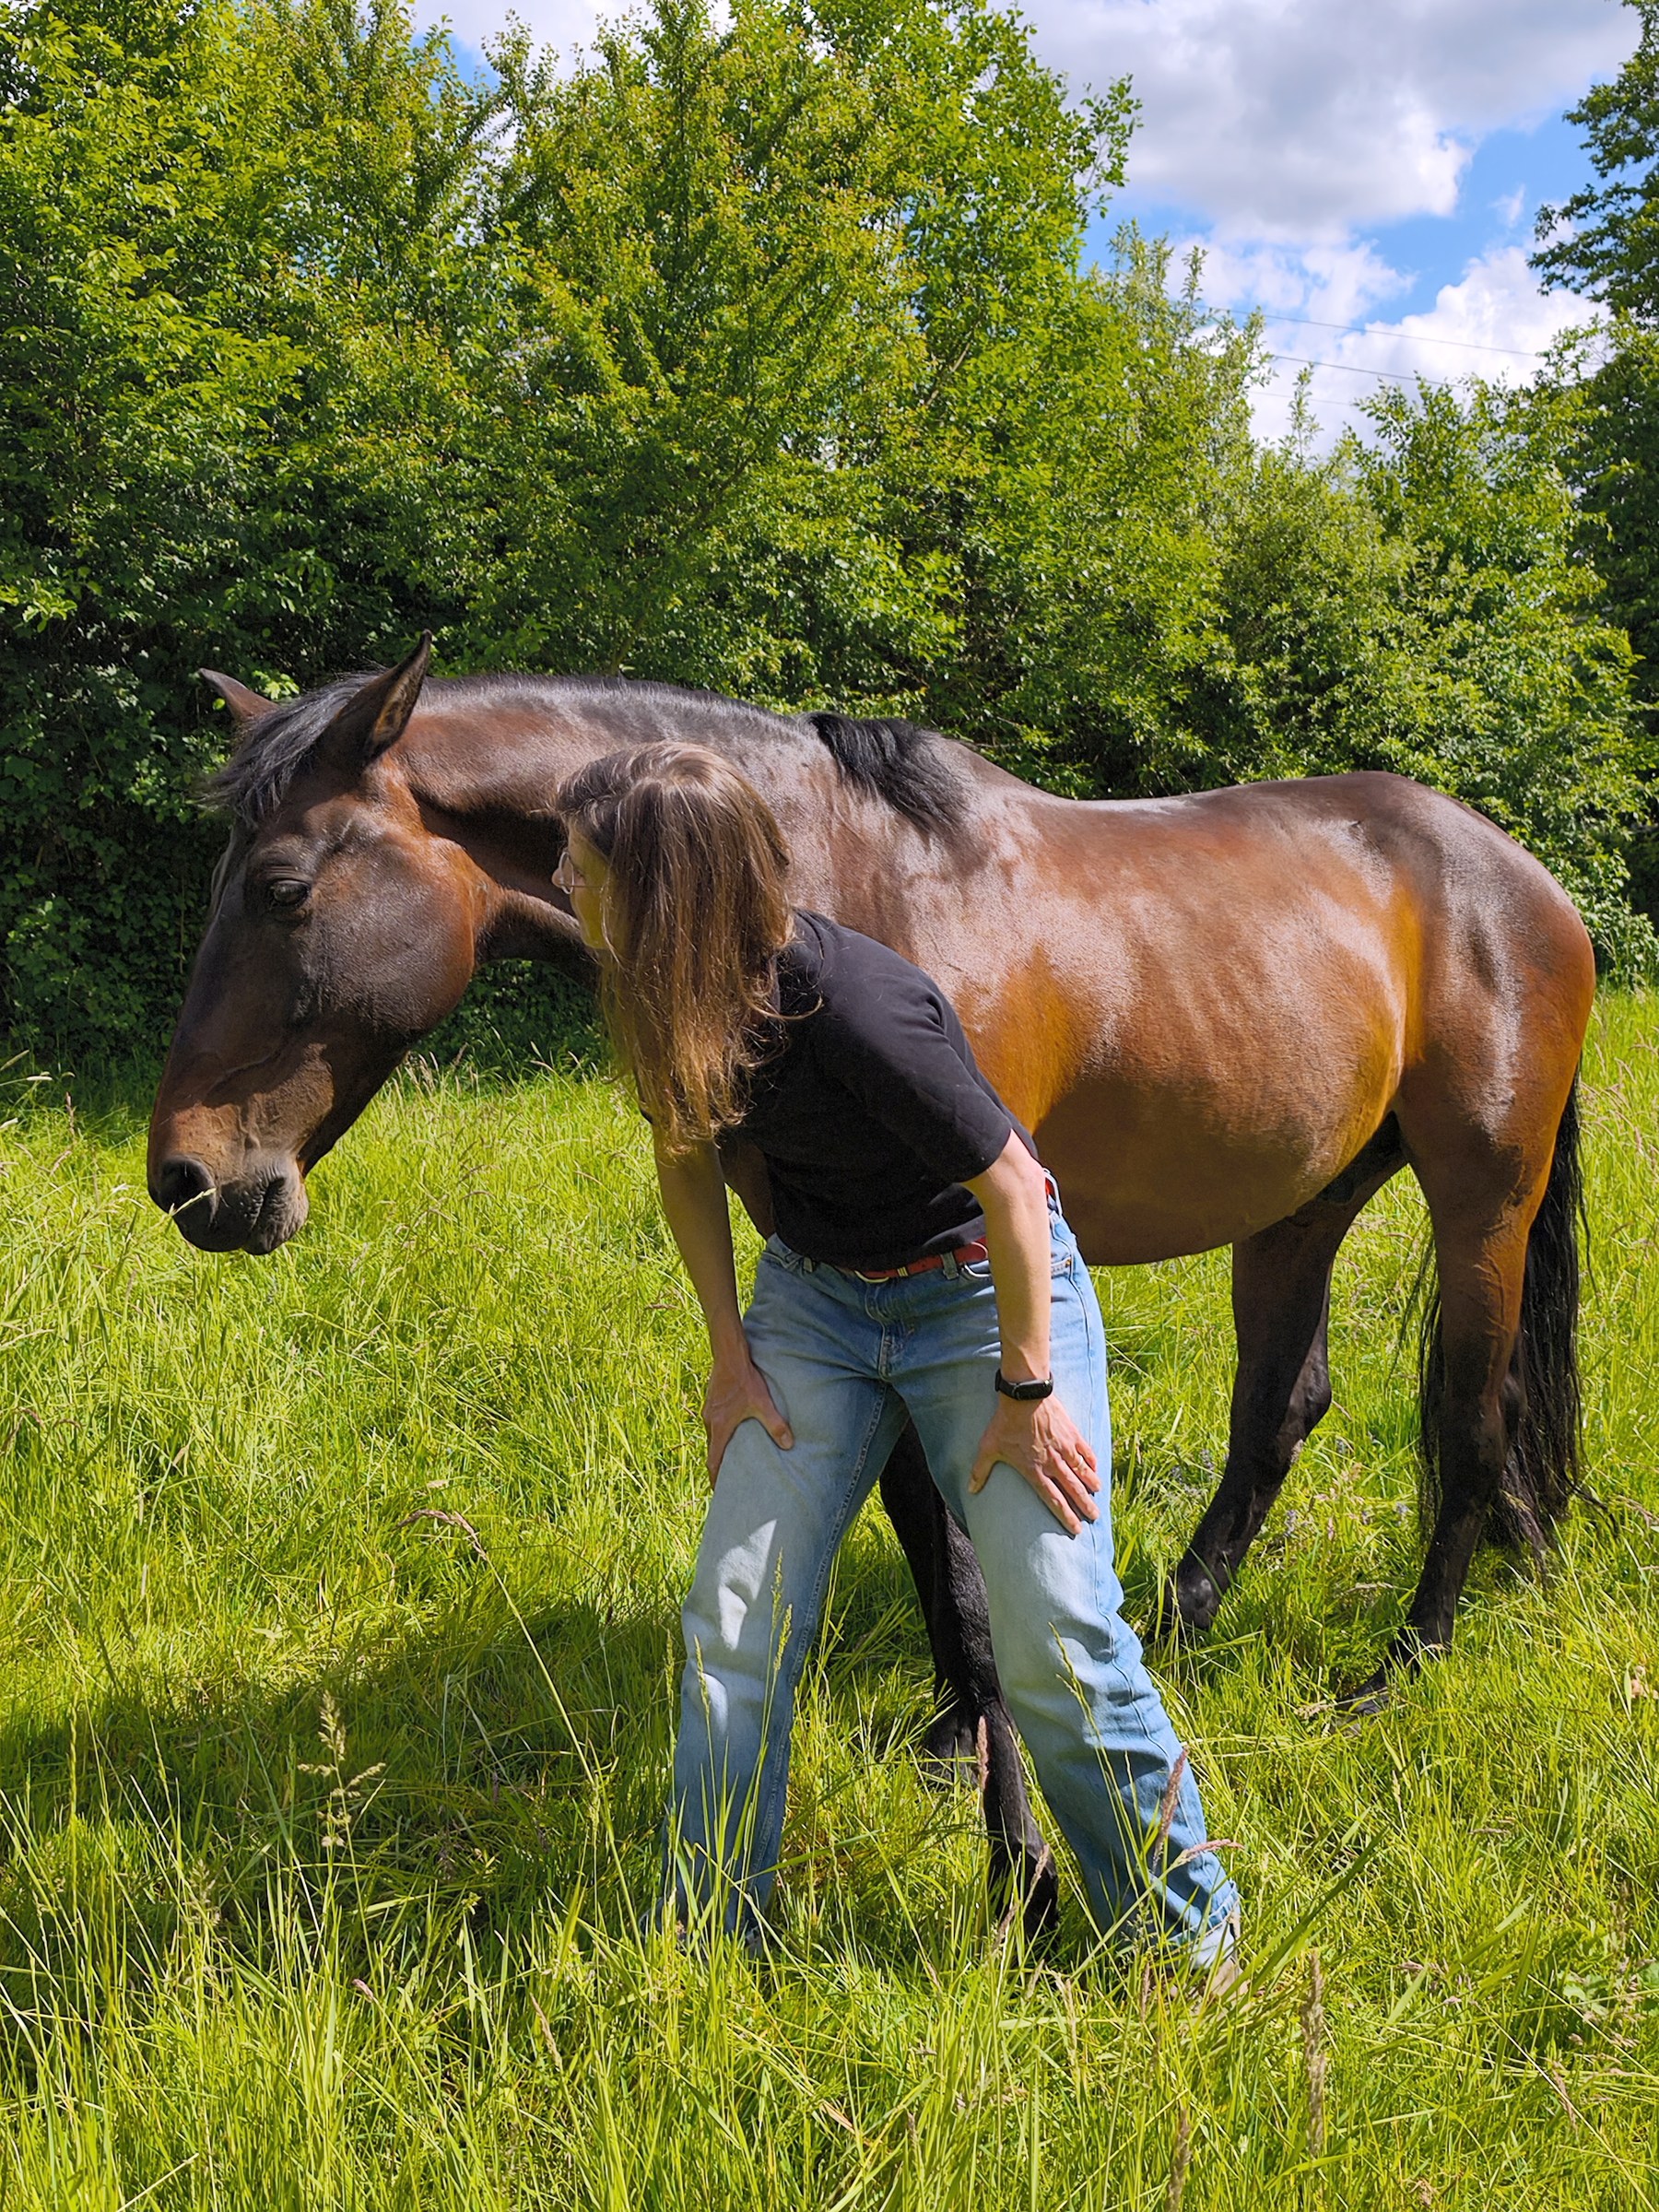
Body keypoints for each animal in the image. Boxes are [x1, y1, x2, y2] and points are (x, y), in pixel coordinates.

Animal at [148, 634, 1597, 1933]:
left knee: (1470, 1418)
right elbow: (915, 1520)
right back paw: (1192, 1624)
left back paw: (1403, 1665)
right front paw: (961, 1731)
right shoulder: (857, 1275)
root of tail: (1519, 878)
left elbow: (961, 1538)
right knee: (1280, 1413)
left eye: (281, 887)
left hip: (1482, 1201)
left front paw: (1012, 1838)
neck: (839, 884)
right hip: (1300, 1208)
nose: (184, 1177)